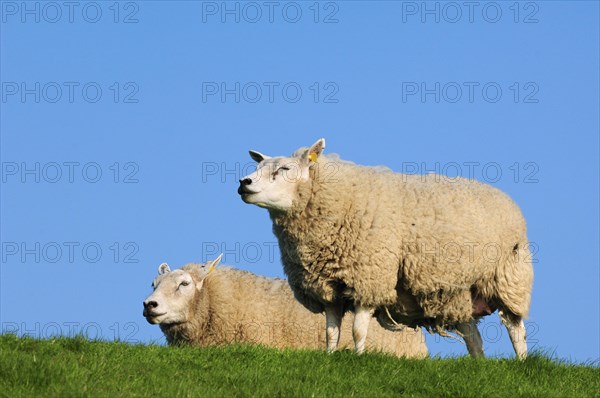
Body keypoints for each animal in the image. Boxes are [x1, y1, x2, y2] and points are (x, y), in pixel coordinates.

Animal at [238, 138, 536, 360]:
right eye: (260, 167)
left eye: (284, 169)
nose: (244, 183)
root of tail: (506, 199)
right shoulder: (328, 287)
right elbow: (331, 332)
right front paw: (330, 358)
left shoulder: (369, 278)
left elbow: (358, 330)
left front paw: (358, 359)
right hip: (458, 292)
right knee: (473, 335)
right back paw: (478, 364)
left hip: (509, 279)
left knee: (515, 329)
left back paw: (521, 363)